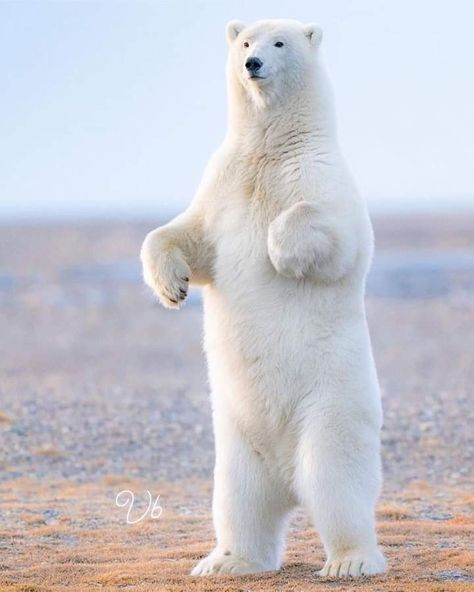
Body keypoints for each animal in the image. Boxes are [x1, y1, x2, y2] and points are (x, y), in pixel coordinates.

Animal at [140, 18, 386, 580]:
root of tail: (286, 477)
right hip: (236, 442)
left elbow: (335, 235)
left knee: (336, 485)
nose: (252, 63)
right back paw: (225, 561)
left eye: (280, 42)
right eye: (246, 41)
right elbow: (188, 236)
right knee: (239, 500)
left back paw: (351, 561)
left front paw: (278, 250)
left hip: (330, 409)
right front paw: (173, 287)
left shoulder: (321, 177)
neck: (271, 149)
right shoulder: (223, 181)